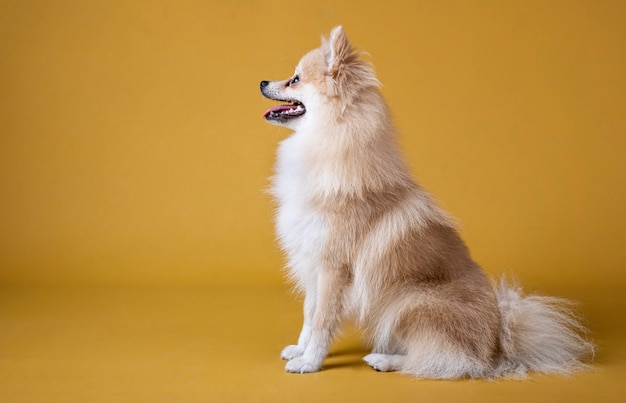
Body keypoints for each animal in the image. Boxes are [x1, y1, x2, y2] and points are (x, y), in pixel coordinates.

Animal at [258, 26, 588, 380]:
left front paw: (310, 362)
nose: (262, 82)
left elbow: (322, 322)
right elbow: (309, 316)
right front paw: (301, 349)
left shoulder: (334, 268)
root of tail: (498, 347)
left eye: (295, 79)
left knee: (444, 361)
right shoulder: (313, 263)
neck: (327, 145)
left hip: (410, 303)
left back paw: (385, 360)